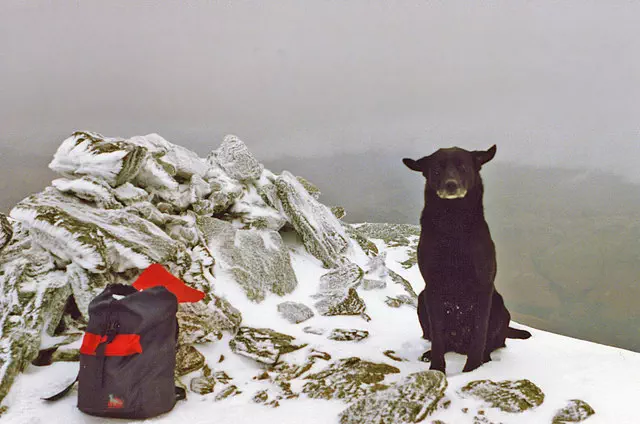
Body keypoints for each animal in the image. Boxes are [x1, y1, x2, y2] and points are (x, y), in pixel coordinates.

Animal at [404, 147, 528, 374]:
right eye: (437, 170)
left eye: (463, 167)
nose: (450, 184)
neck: (453, 225)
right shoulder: (432, 288)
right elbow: (437, 336)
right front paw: (437, 368)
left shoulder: (484, 286)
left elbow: (479, 333)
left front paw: (472, 369)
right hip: (422, 299)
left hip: (499, 304)